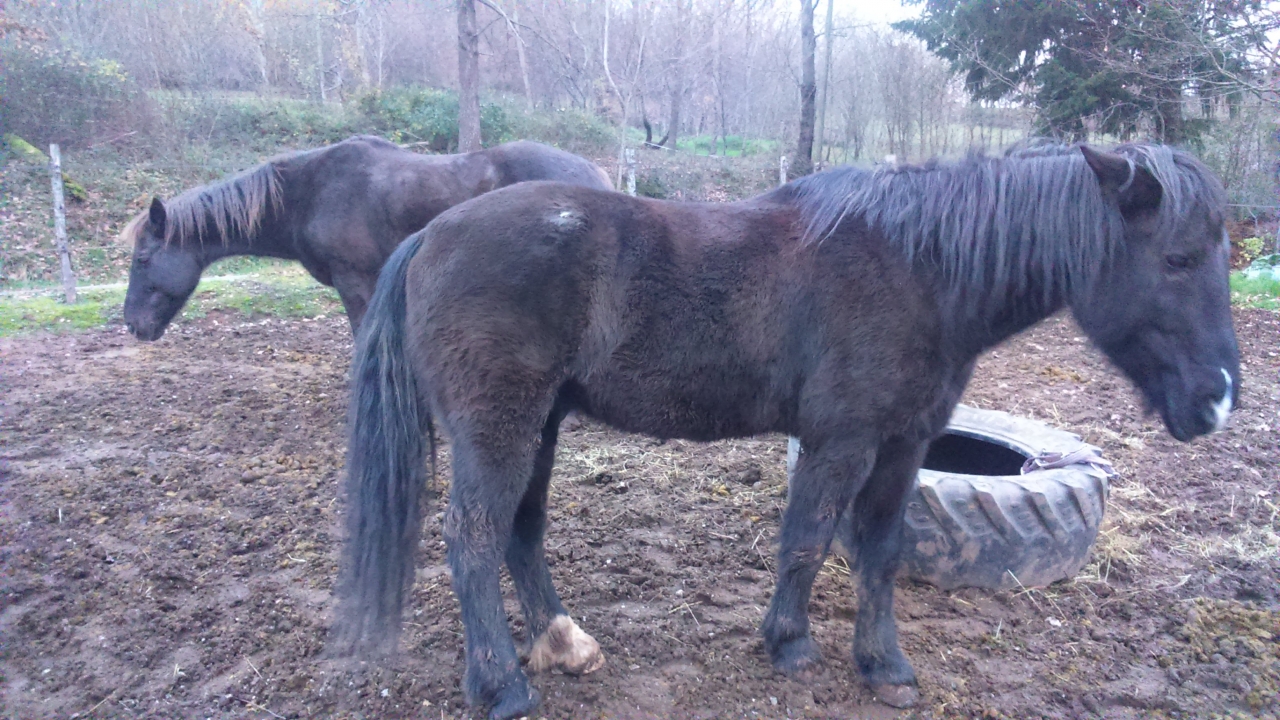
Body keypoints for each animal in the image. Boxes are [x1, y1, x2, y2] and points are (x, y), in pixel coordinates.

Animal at [332, 143, 1238, 719]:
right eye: (1179, 259)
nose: (1218, 399)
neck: (917, 268)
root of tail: (431, 236)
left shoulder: (905, 444)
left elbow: (880, 552)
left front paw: (885, 667)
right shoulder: (843, 441)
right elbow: (806, 539)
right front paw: (791, 646)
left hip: (541, 423)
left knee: (520, 533)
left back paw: (563, 645)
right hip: (499, 427)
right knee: (473, 541)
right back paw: (504, 689)